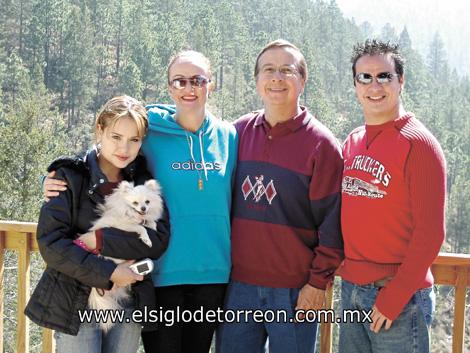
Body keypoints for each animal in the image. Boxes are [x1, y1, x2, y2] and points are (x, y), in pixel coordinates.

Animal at [87, 179, 162, 330]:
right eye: (135, 203)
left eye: (147, 202)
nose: (143, 208)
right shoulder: (124, 225)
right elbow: (140, 228)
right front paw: (146, 238)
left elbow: (150, 223)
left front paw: (152, 226)